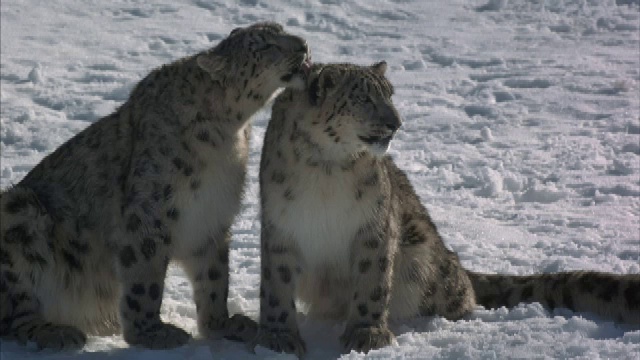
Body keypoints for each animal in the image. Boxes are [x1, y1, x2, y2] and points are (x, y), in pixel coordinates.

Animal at [0, 21, 312, 348]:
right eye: (265, 45)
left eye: (281, 29)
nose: (303, 44)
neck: (227, 135)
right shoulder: (150, 213)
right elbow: (144, 278)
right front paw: (150, 332)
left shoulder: (212, 216)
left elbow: (215, 277)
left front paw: (222, 325)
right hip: (19, 211)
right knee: (15, 315)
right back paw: (57, 332)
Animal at [251, 60, 640, 356]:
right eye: (363, 98)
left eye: (390, 94)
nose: (396, 123)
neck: (326, 170)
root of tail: (457, 263)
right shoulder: (280, 227)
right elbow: (277, 284)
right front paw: (278, 336)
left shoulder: (374, 226)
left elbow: (372, 282)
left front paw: (368, 334)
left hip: (422, 260)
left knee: (463, 296)